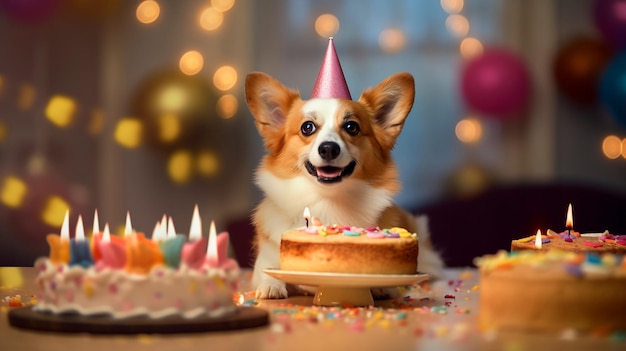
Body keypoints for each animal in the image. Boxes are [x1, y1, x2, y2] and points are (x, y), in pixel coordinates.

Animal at [241, 71, 442, 300]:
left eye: (351, 127)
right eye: (307, 127)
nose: (329, 148)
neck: (328, 200)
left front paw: (381, 287)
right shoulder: (267, 257)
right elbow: (266, 271)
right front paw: (271, 286)